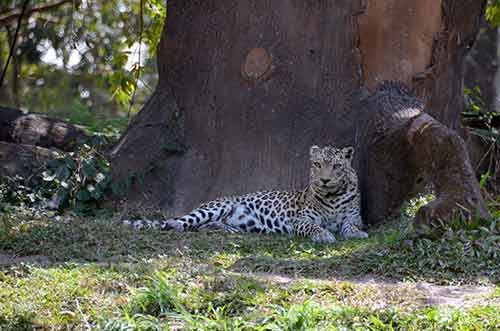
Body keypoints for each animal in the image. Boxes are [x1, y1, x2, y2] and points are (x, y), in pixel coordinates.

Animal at [123, 145, 370, 244]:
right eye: (317, 165)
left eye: (336, 166)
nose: (324, 180)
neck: (332, 196)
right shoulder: (301, 219)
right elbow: (313, 226)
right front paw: (323, 235)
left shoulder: (354, 217)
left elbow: (351, 226)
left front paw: (357, 234)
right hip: (217, 206)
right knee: (182, 222)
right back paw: (175, 225)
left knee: (203, 226)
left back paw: (224, 229)